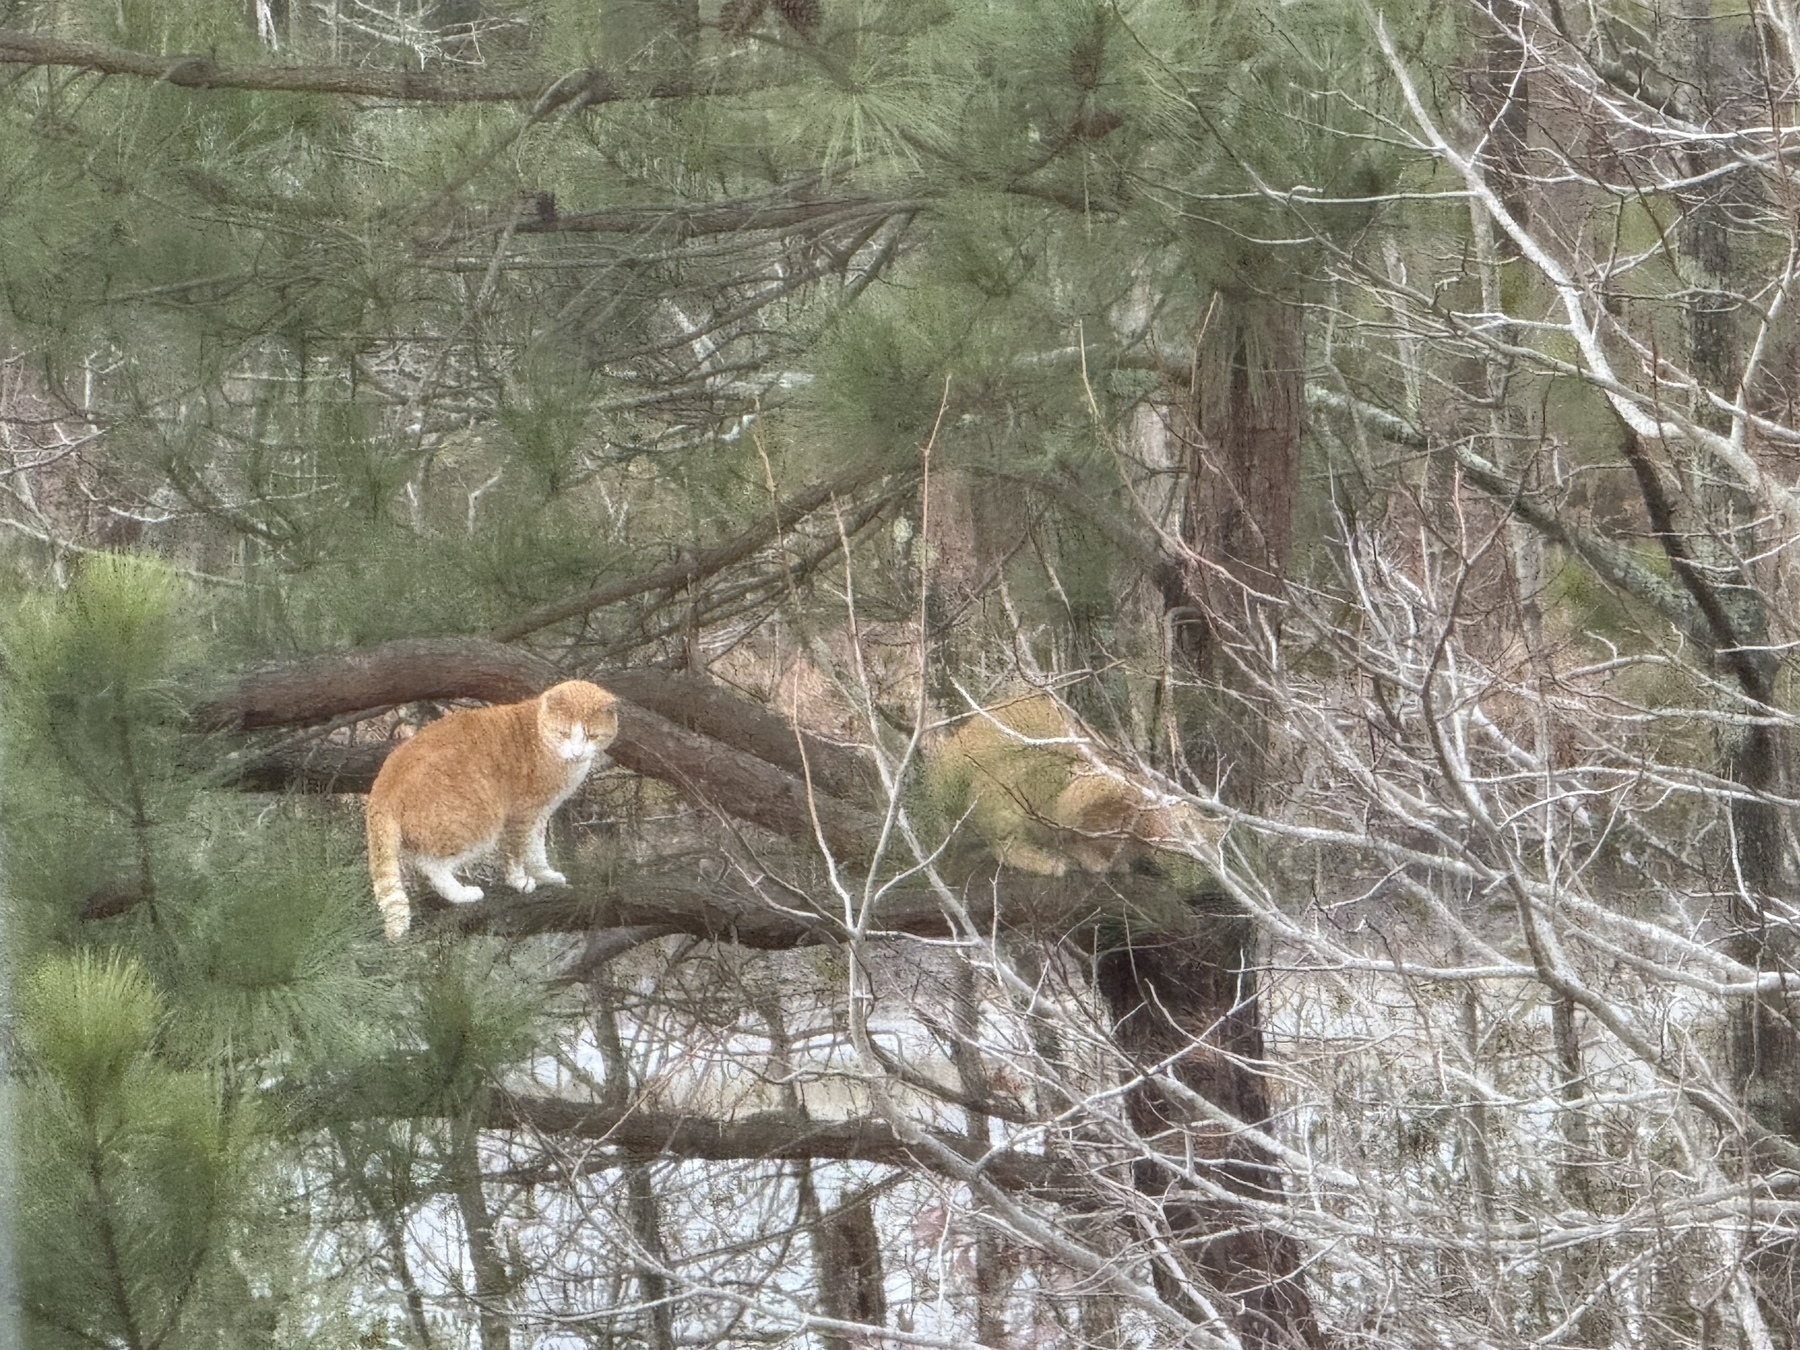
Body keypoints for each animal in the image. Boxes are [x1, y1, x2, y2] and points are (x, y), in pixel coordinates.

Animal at [361, 680, 622, 936]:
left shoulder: (539, 815)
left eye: (591, 736)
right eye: (564, 733)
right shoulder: (523, 814)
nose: (577, 752)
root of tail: (384, 782)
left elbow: (536, 850)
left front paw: (545, 875)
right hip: (476, 825)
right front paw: (520, 882)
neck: (540, 737)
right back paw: (462, 894)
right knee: (431, 865)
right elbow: (518, 852)